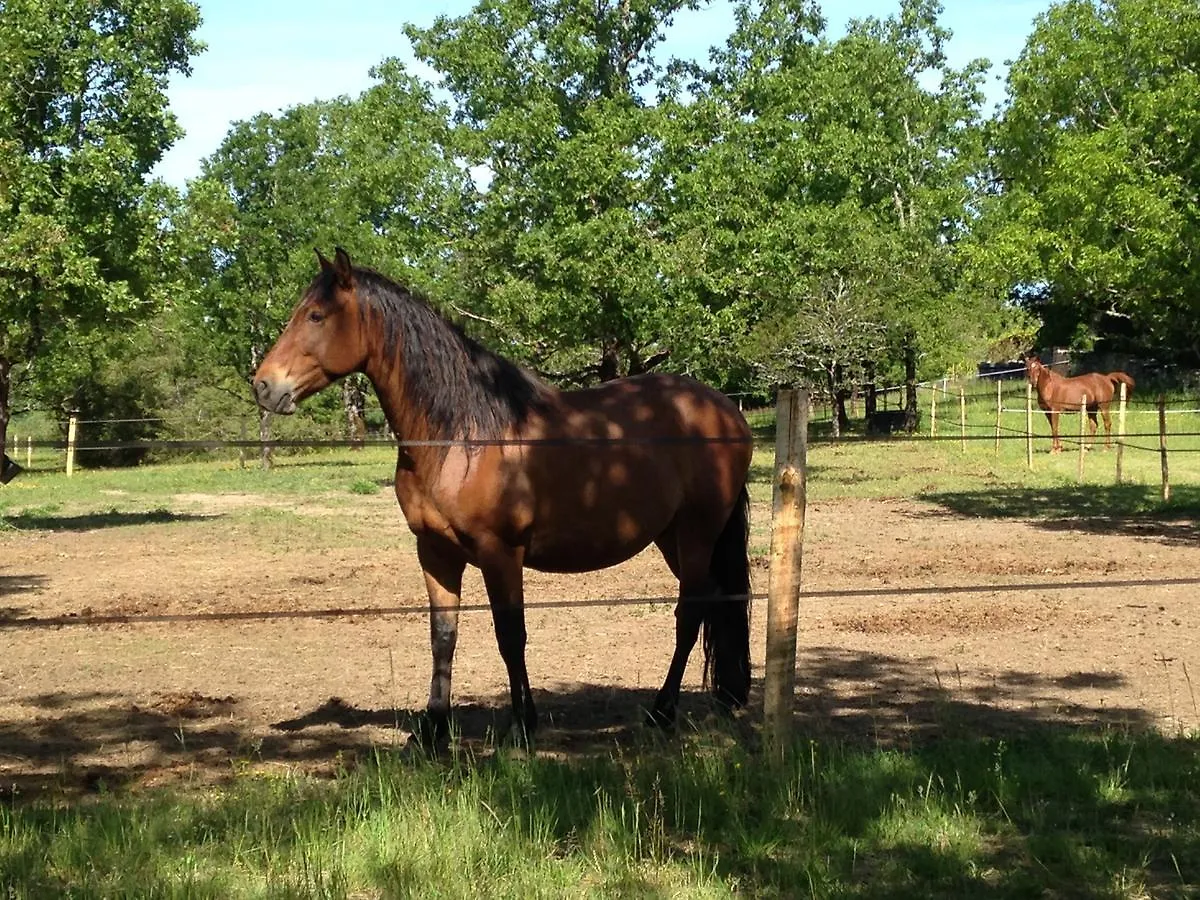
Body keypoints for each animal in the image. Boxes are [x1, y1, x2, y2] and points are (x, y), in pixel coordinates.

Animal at [255, 248, 748, 748]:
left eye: (316, 316)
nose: (264, 386)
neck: (461, 435)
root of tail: (724, 409)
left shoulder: (500, 552)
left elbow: (511, 635)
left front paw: (523, 726)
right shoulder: (435, 552)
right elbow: (443, 635)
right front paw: (433, 729)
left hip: (697, 532)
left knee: (690, 613)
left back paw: (662, 713)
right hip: (671, 536)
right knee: (714, 600)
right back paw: (724, 698)